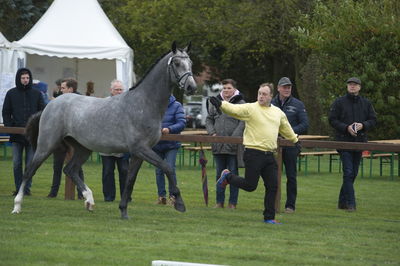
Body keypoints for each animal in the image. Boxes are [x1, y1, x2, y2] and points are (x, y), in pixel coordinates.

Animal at [13, 42, 198, 219]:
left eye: (190, 63)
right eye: (176, 63)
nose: (192, 87)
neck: (144, 103)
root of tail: (50, 104)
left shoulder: (139, 153)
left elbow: (130, 180)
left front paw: (123, 211)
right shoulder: (141, 149)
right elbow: (167, 168)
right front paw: (179, 204)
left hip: (83, 148)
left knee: (70, 170)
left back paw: (89, 201)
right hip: (47, 144)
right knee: (29, 171)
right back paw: (17, 206)